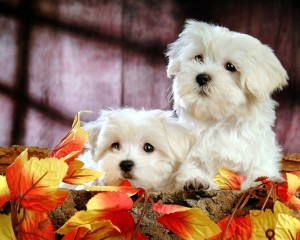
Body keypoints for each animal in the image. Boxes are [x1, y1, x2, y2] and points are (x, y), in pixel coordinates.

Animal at [166, 20, 288, 191]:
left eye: (230, 67)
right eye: (198, 58)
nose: (202, 77)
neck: (219, 121)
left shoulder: (259, 152)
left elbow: (259, 170)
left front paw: (265, 181)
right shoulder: (191, 154)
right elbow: (191, 168)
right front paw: (195, 180)